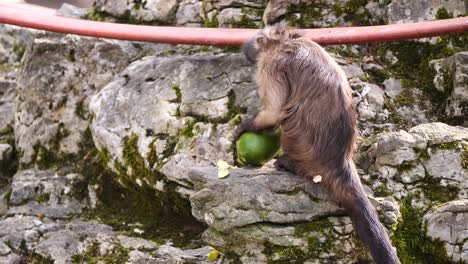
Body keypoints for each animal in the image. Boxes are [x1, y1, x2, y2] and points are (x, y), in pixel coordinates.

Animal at [236, 23, 400, 262]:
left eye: (256, 38)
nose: (245, 45)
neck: (287, 40)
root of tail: (340, 162)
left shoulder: (271, 64)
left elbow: (274, 113)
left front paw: (243, 127)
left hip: (300, 146)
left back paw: (288, 164)